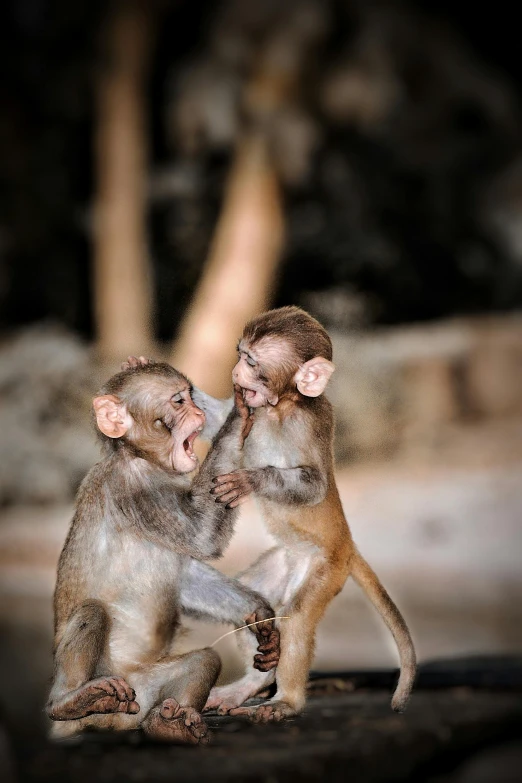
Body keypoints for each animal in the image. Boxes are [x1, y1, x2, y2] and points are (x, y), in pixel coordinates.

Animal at [46, 358, 278, 744]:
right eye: (178, 402)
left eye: (189, 396)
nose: (198, 411)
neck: (141, 458)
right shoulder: (133, 486)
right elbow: (200, 536)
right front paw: (241, 413)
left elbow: (185, 578)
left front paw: (260, 614)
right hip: (108, 685)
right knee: (93, 612)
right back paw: (71, 701)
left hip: (139, 693)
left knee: (203, 661)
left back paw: (169, 723)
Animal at [207, 306, 414, 724]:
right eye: (240, 355)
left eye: (251, 362)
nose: (235, 375)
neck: (281, 407)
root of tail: (348, 544)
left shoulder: (313, 421)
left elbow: (314, 484)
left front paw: (252, 480)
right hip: (285, 562)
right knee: (252, 604)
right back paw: (252, 683)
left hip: (325, 569)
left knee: (297, 616)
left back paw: (285, 700)